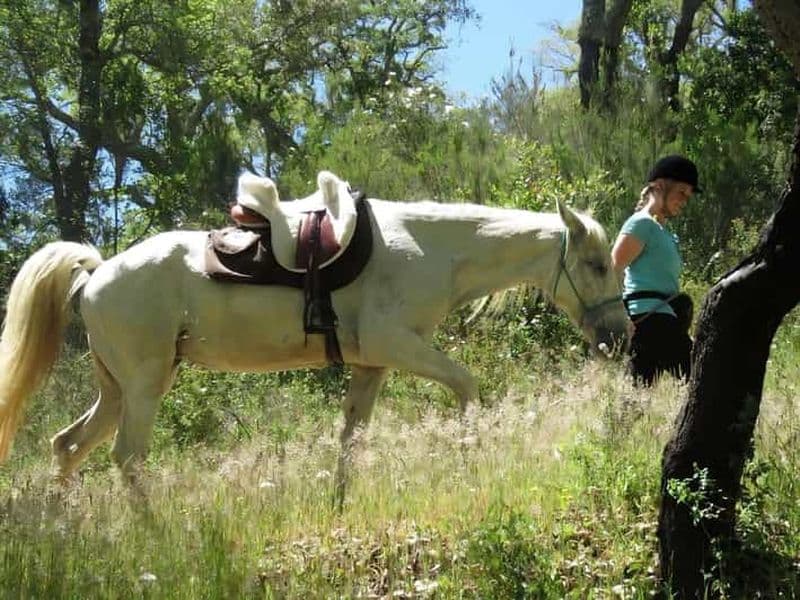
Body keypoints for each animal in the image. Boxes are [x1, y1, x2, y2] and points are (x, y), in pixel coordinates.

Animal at [0, 172, 630, 503]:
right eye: (597, 264)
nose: (619, 337)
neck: (430, 248)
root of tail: (95, 273)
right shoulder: (397, 345)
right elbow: (467, 385)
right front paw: (470, 453)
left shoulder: (372, 364)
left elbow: (351, 439)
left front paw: (340, 504)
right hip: (145, 386)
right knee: (127, 459)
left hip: (116, 389)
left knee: (68, 445)